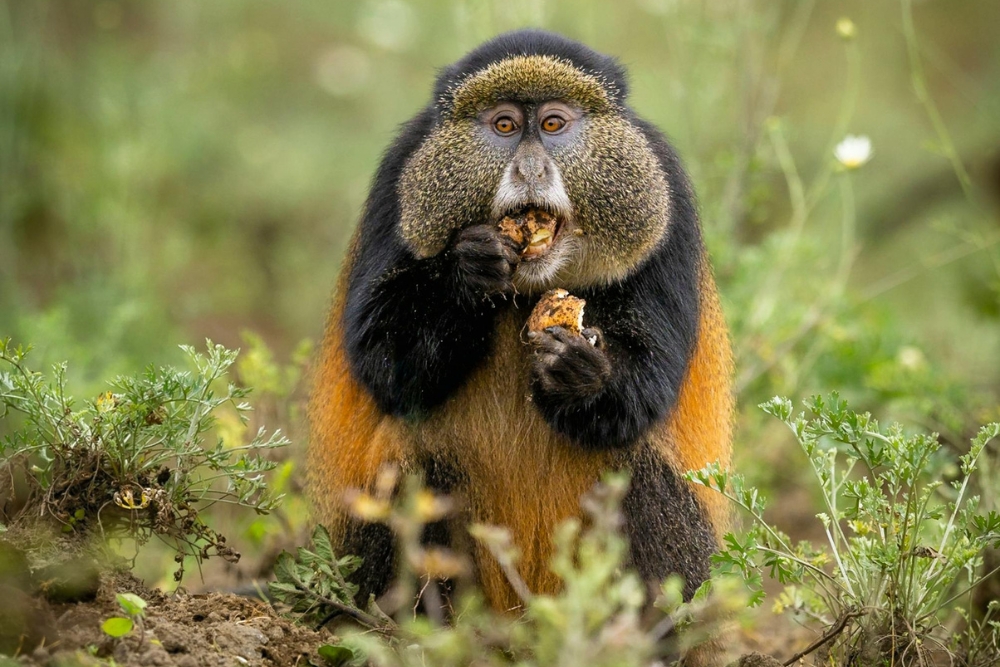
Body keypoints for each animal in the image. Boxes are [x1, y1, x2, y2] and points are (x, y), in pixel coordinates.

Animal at [308, 28, 733, 622]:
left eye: (552, 124)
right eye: (505, 126)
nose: (530, 170)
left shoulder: (664, 193)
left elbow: (648, 387)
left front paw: (579, 370)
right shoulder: (398, 176)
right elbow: (383, 362)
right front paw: (466, 272)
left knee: (636, 464)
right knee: (411, 452)